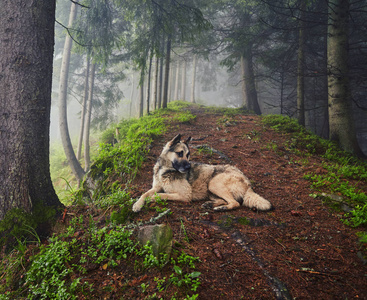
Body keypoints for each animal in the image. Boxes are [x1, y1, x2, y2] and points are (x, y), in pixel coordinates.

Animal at [133, 134, 274, 213]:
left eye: (188, 155)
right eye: (180, 153)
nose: (189, 166)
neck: (165, 169)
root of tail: (248, 183)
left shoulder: (184, 195)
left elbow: (163, 195)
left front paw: (152, 199)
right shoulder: (156, 187)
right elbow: (144, 194)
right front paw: (137, 205)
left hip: (214, 183)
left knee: (235, 203)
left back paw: (220, 209)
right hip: (211, 191)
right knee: (226, 200)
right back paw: (210, 204)